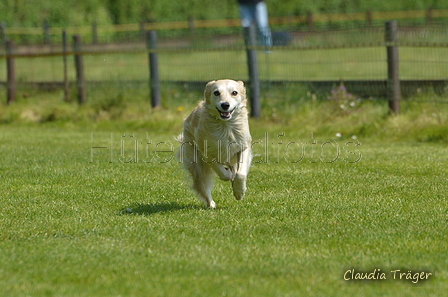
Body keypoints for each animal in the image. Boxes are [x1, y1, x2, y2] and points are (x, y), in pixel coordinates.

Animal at [178, 78, 252, 208]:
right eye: (216, 93)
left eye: (234, 92)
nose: (225, 105)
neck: (225, 126)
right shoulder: (206, 153)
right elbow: (223, 173)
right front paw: (230, 177)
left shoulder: (244, 146)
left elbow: (241, 174)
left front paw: (239, 192)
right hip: (197, 166)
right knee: (202, 185)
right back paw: (211, 204)